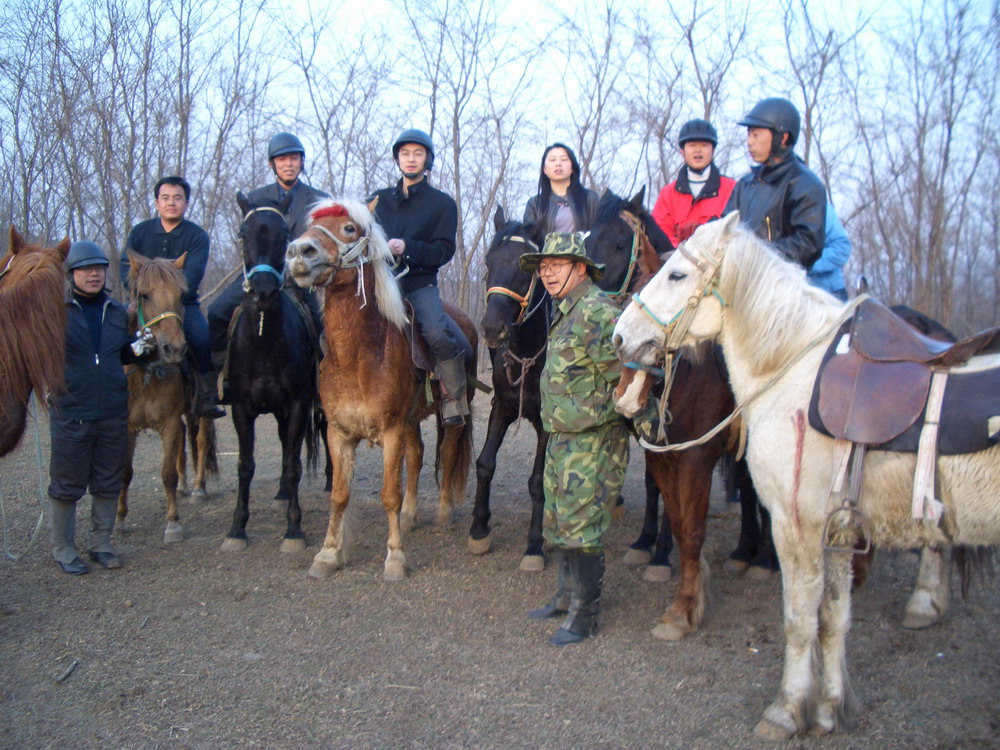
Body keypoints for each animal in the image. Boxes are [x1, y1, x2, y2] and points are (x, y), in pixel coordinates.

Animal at [221, 192, 318, 560]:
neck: (263, 338)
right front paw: (237, 529)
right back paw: (279, 495)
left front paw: (294, 530)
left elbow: (292, 465)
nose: (263, 290)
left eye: (285, 234)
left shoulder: (298, 405)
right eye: (242, 234)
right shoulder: (240, 409)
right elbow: (245, 466)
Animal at [286, 198, 476, 580]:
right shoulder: (339, 434)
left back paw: (444, 512)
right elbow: (339, 495)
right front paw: (328, 554)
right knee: (417, 455)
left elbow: (389, 493)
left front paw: (395, 559)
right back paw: (410, 517)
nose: (299, 252)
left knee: (448, 453)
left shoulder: (390, 431)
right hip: (411, 420)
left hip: (452, 415)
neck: (359, 356)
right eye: (309, 226)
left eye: (349, 228)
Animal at [608, 212, 1000, 740]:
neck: (792, 366)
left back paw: (920, 600)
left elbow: (795, 615)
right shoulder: (674, 463)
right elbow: (832, 617)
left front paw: (785, 707)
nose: (619, 338)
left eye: (675, 275)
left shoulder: (787, 517)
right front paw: (829, 707)